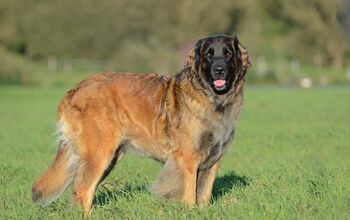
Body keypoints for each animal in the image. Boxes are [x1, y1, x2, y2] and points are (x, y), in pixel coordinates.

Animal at [31, 34, 252, 217]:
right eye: (208, 54)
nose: (219, 70)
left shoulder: (213, 160)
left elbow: (204, 194)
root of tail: (74, 90)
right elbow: (190, 195)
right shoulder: (188, 159)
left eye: (228, 53)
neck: (212, 99)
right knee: (83, 191)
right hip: (99, 155)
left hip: (107, 158)